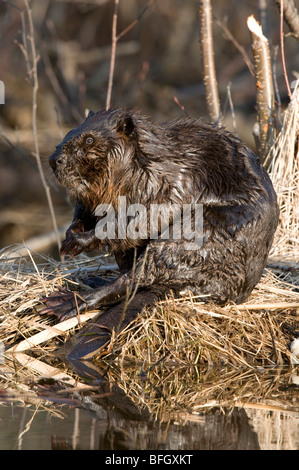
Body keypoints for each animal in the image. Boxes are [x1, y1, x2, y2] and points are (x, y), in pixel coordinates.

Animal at [41, 108, 280, 334]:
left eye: (89, 140)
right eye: (72, 130)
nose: (54, 160)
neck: (146, 158)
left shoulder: (173, 180)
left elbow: (148, 216)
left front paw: (80, 241)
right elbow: (87, 208)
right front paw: (70, 235)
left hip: (198, 234)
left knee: (137, 278)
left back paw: (64, 302)